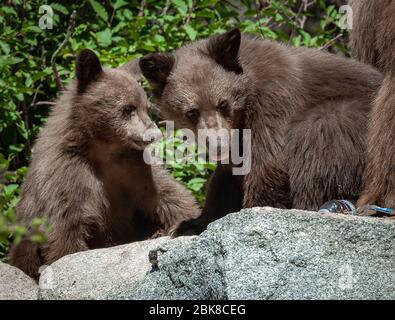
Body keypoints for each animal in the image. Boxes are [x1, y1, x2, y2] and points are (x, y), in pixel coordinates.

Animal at [140, 28, 384, 235]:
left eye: (223, 104)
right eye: (191, 112)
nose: (218, 145)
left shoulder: (275, 98)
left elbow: (267, 157)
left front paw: (254, 209)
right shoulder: (235, 133)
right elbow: (226, 175)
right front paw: (192, 223)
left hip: (359, 121)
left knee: (319, 135)